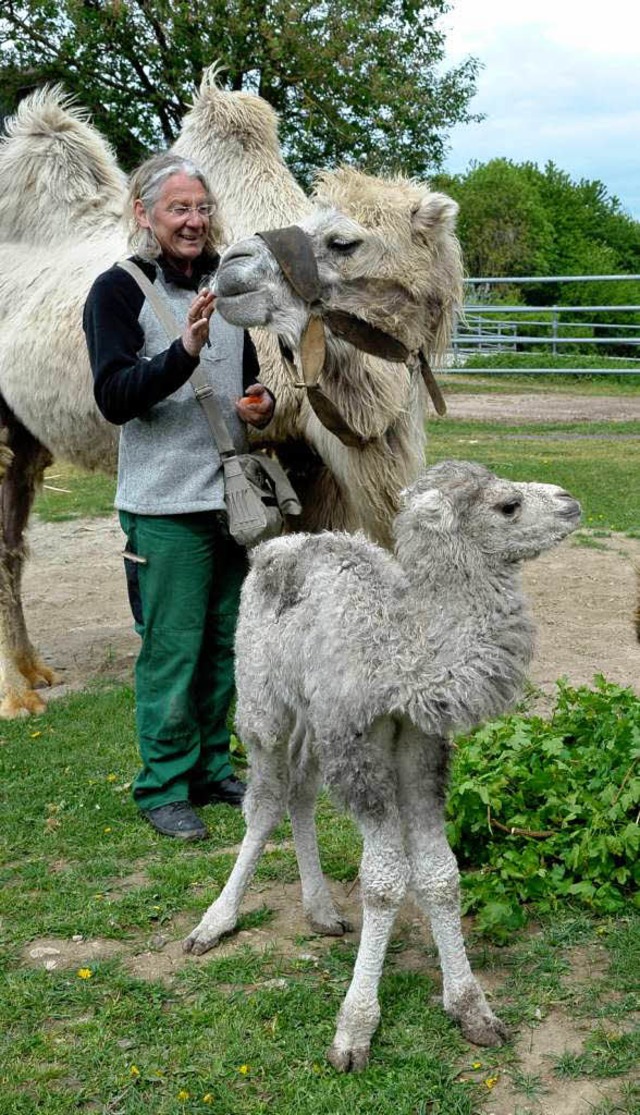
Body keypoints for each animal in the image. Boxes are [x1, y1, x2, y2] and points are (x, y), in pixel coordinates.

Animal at [183, 459, 579, 1070]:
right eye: (508, 506)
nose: (570, 502)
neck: (406, 660)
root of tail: (273, 548)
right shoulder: (358, 748)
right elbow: (386, 882)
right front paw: (353, 1031)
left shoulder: (420, 746)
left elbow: (439, 875)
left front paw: (472, 1009)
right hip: (262, 698)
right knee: (267, 799)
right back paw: (214, 923)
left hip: (314, 721)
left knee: (300, 793)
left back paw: (322, 913)